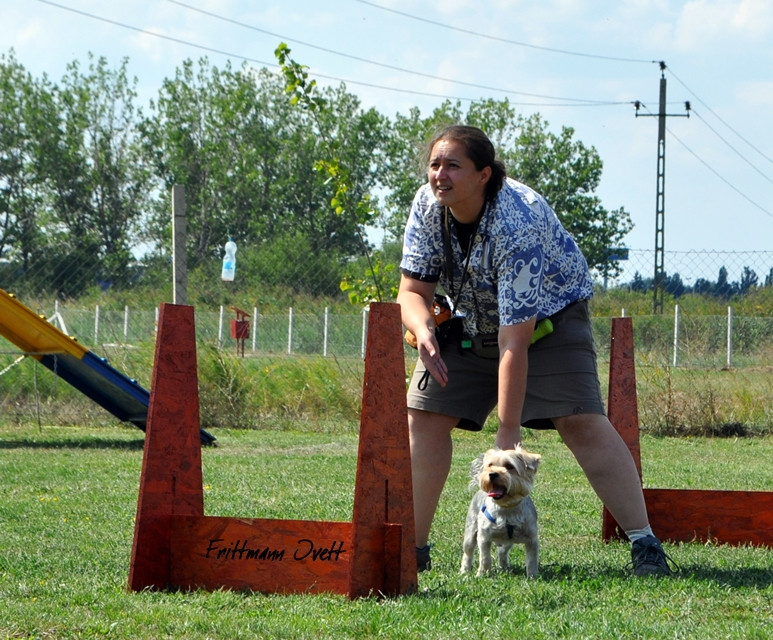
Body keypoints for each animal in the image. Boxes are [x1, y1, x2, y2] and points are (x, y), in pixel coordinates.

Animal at [462, 444, 540, 580]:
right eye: (490, 465)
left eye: (510, 466)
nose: (492, 474)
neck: (507, 507)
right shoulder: (484, 536)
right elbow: (485, 557)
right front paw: (483, 574)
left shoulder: (532, 538)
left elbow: (532, 560)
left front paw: (532, 577)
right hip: (470, 531)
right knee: (468, 552)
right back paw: (464, 570)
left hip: (507, 542)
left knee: (502, 552)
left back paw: (504, 568)